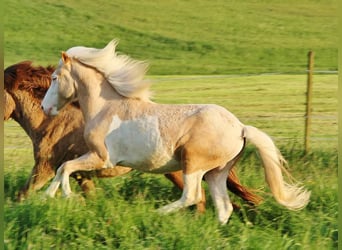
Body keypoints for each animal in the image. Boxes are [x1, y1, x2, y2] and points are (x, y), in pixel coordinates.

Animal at [3, 61, 262, 209]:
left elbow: (22, 195)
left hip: (185, 170)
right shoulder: (82, 175)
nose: (46, 107)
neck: (53, 123)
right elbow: (89, 195)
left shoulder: (44, 167)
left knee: (200, 199)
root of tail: (236, 127)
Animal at [42, 40, 310, 224]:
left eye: (54, 78)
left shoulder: (102, 158)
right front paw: (48, 196)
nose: (45, 108)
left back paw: (157, 213)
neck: (106, 108)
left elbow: (66, 167)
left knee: (192, 196)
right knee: (223, 207)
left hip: (194, 164)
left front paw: (68, 197)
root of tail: (241, 128)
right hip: (217, 172)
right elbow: (62, 169)